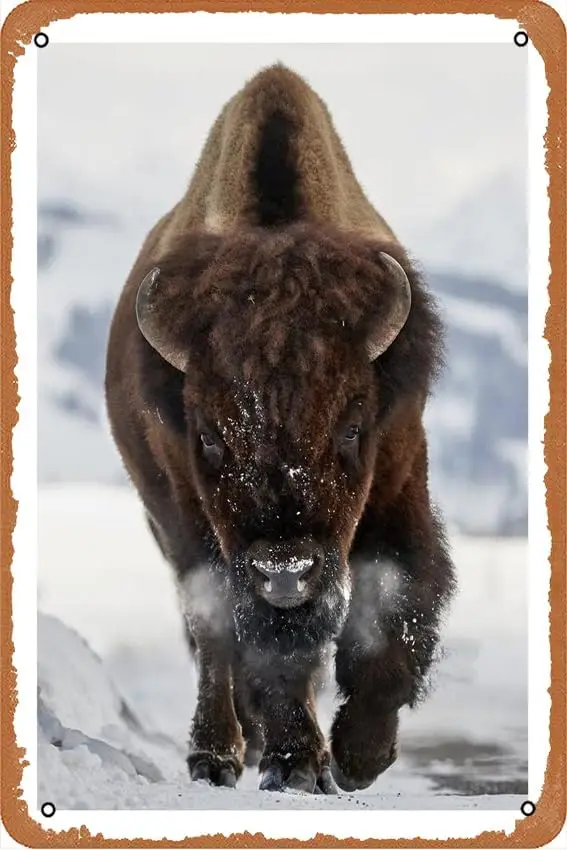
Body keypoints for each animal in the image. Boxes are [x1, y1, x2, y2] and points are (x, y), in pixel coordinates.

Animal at [105, 64, 456, 795]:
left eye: (352, 428)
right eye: (209, 437)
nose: (285, 573)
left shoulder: (399, 477)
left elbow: (395, 601)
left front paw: (358, 757)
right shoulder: (198, 522)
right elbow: (259, 645)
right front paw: (296, 764)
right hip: (174, 529)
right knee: (213, 638)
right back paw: (218, 755)